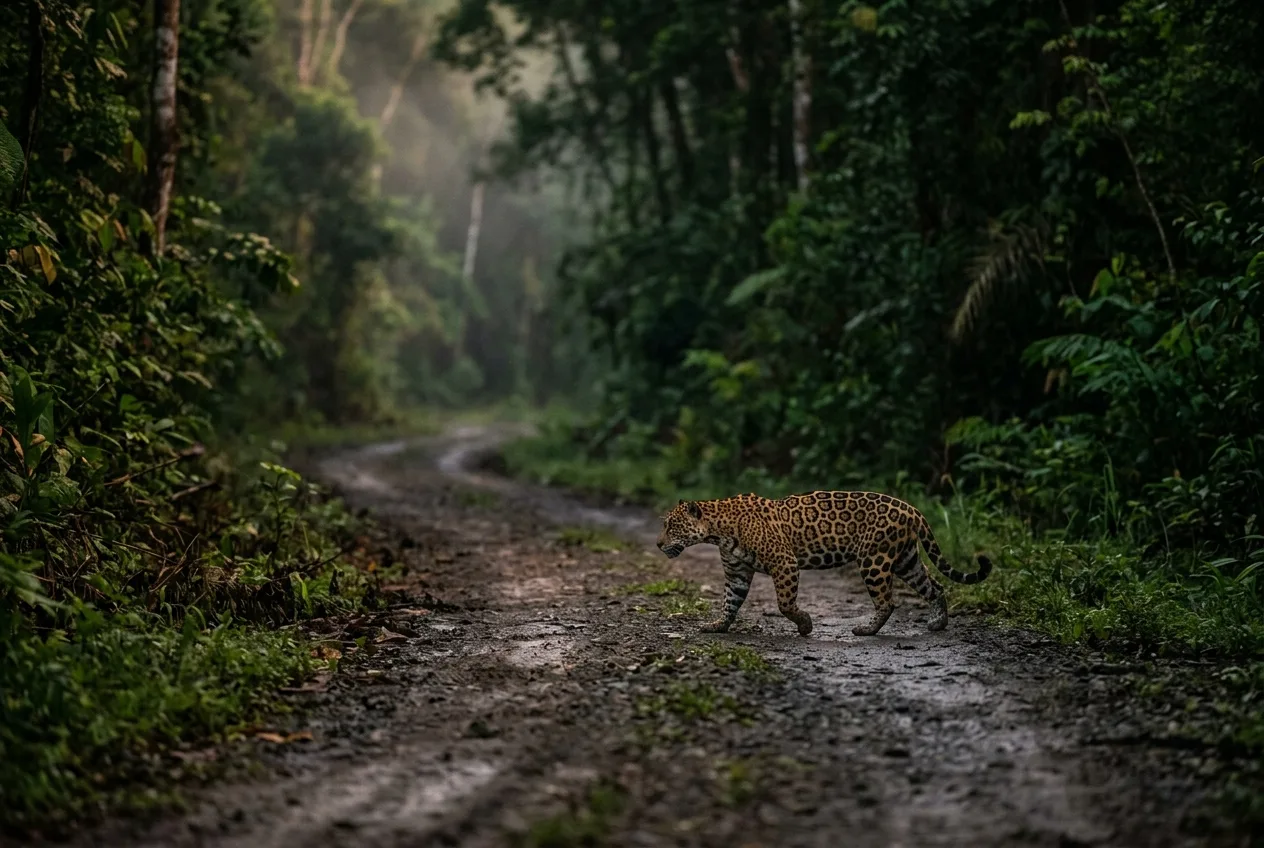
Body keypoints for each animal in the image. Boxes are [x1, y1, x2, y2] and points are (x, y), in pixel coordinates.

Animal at [655, 491, 992, 638]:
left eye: (672, 526)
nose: (658, 544)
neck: (717, 530)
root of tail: (913, 509)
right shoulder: (737, 572)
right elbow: (730, 601)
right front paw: (718, 626)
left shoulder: (784, 561)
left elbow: (785, 604)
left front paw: (805, 625)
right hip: (906, 559)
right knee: (934, 586)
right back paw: (938, 623)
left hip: (874, 560)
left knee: (887, 601)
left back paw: (866, 630)